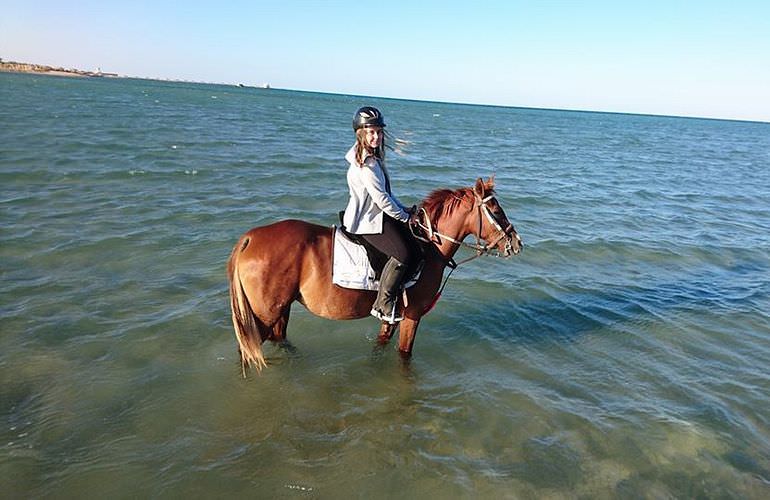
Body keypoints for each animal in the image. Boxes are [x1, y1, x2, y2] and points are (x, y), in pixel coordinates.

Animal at [225, 177, 520, 376]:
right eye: (495, 210)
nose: (516, 243)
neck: (428, 245)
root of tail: (250, 238)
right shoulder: (413, 315)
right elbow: (404, 355)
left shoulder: (393, 314)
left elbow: (381, 344)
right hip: (264, 314)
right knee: (247, 348)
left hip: (280, 309)